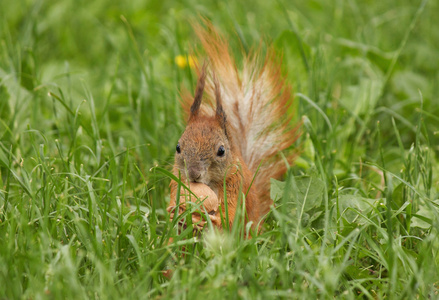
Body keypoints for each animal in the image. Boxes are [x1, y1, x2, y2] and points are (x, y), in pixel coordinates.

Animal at [167, 24, 300, 232]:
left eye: (221, 150)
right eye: (178, 147)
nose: (193, 174)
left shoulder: (236, 184)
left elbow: (231, 215)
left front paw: (213, 220)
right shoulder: (176, 180)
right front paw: (174, 212)